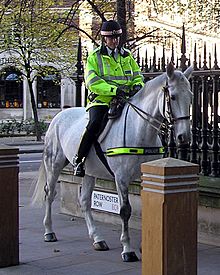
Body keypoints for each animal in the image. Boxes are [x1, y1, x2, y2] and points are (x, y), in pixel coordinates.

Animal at [32, 63, 192, 264]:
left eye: (191, 97)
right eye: (173, 96)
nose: (184, 137)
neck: (139, 129)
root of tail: (59, 115)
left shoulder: (145, 176)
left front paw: (144, 245)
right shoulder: (121, 177)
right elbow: (125, 210)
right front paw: (127, 249)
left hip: (89, 171)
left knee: (84, 201)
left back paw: (97, 238)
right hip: (54, 164)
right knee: (50, 193)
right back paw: (49, 231)